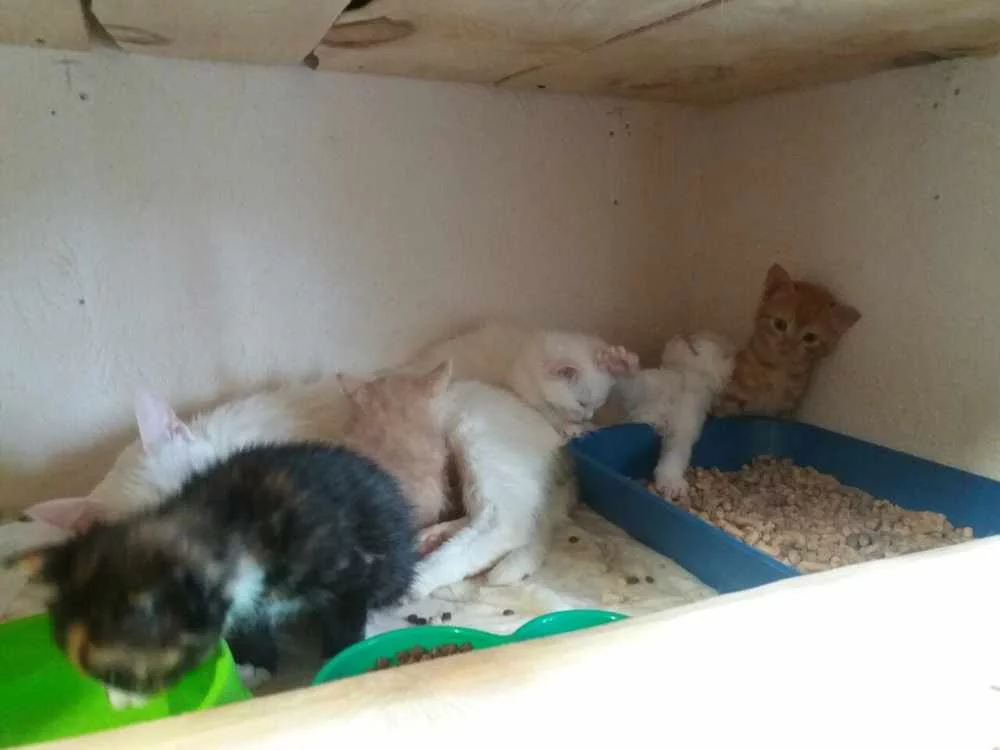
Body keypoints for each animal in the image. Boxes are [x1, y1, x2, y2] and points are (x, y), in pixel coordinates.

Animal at [10, 443, 417, 704]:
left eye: (118, 676)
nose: (119, 703)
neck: (232, 528)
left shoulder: (346, 562)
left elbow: (346, 611)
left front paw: (342, 655)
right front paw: (254, 662)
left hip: (391, 552)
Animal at [405, 322, 639, 438]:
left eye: (598, 405)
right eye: (582, 404)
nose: (588, 416)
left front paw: (620, 360)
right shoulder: (526, 388)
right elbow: (548, 413)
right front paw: (571, 427)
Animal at [615, 332, 735, 498]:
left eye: (699, 338)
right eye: (693, 334)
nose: (685, 334)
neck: (684, 381)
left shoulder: (683, 428)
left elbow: (675, 454)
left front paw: (671, 481)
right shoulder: (651, 387)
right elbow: (637, 384)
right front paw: (624, 364)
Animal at [714, 263, 861, 417]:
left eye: (810, 337)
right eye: (780, 324)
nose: (787, 346)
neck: (778, 371)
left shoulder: (786, 408)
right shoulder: (733, 397)